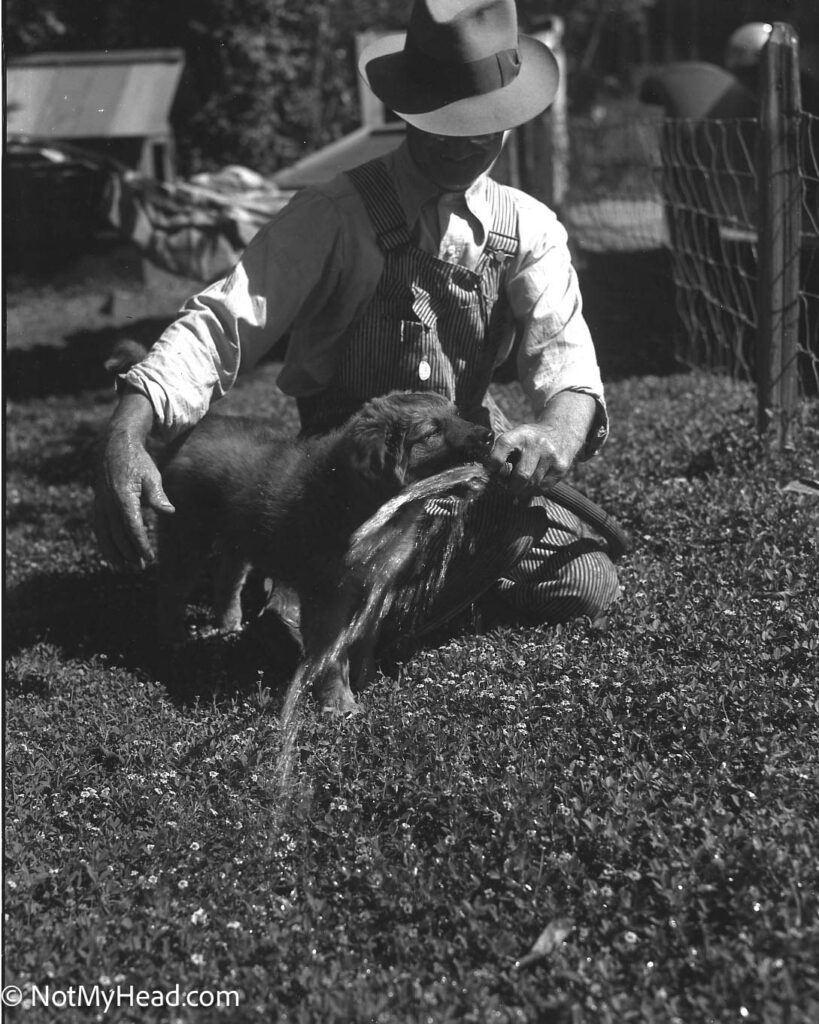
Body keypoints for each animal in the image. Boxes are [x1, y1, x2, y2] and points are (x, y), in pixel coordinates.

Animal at [157, 391, 495, 712]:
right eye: (431, 432)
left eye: (457, 415)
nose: (490, 436)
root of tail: (200, 427)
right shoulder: (328, 598)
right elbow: (331, 657)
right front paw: (339, 703)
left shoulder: (377, 586)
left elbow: (365, 638)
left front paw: (367, 679)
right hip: (186, 539)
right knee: (172, 590)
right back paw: (174, 640)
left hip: (236, 537)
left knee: (227, 578)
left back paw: (230, 626)